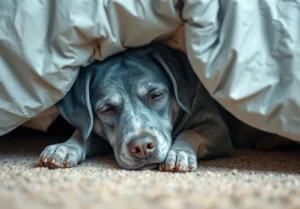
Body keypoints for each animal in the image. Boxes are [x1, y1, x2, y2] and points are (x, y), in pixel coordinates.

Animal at [38, 42, 294, 171]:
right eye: (106, 109)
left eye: (157, 95)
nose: (142, 146)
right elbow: (84, 133)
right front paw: (64, 148)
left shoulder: (216, 127)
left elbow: (190, 132)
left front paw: (179, 154)